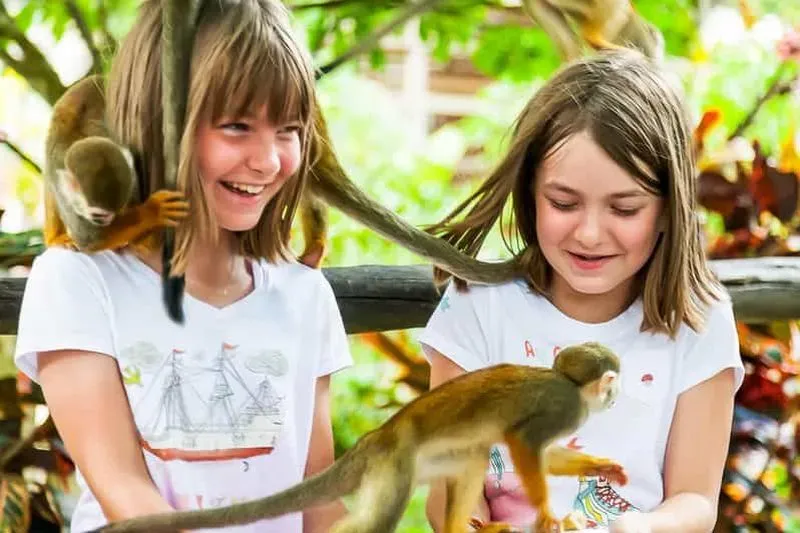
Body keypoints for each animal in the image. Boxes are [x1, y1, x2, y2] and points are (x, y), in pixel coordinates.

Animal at [43, 74, 190, 253]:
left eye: (114, 212)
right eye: (98, 215)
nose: (106, 222)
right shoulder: (62, 189)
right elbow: (90, 238)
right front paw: (153, 210)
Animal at [91, 341, 627, 533]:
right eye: (613, 383)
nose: (617, 397)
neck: (574, 389)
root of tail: (376, 438)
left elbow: (544, 453)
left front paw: (601, 466)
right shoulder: (564, 407)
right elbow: (525, 444)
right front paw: (546, 511)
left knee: (474, 454)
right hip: (396, 463)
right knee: (379, 519)